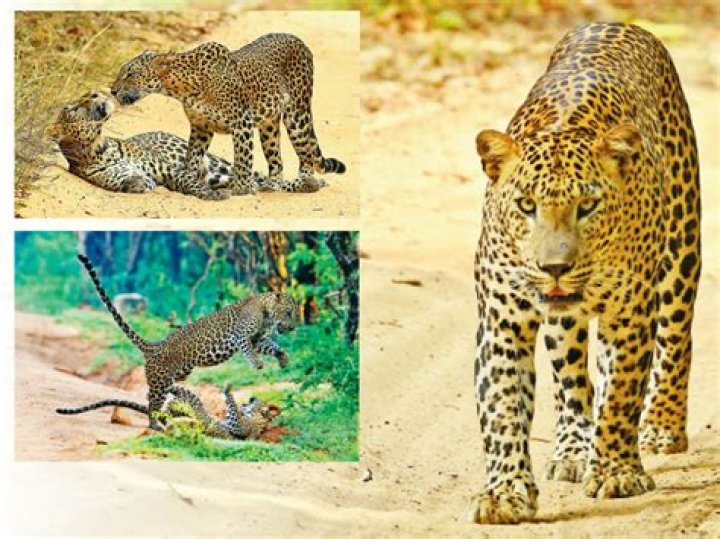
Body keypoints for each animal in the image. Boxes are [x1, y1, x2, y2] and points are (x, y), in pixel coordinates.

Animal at [47, 90, 234, 200]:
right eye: (74, 109)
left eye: (89, 95)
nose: (94, 93)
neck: (101, 150)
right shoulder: (122, 180)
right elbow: (136, 181)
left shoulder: (168, 169)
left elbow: (188, 181)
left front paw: (211, 194)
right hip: (212, 174)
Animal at [76, 253, 298, 431]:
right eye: (289, 312)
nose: (292, 327)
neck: (266, 311)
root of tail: (154, 345)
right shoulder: (242, 335)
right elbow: (249, 350)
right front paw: (257, 363)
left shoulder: (258, 338)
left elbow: (271, 346)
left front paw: (283, 358)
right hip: (160, 381)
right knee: (153, 403)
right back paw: (155, 425)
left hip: (176, 376)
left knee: (152, 397)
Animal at [111, 33, 346, 195]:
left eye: (130, 74)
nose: (112, 91)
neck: (182, 87)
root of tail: (298, 40)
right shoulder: (201, 127)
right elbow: (192, 158)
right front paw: (191, 180)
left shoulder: (241, 123)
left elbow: (243, 160)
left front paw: (240, 189)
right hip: (269, 126)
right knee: (277, 161)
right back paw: (272, 185)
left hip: (297, 116)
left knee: (306, 155)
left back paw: (306, 182)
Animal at [467, 22, 700, 524]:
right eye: (526, 205)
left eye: (588, 206)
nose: (555, 267)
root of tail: (618, 24)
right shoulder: (502, 320)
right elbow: (502, 407)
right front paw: (505, 492)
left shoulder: (630, 314)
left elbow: (621, 394)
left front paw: (616, 473)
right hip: (563, 324)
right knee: (573, 380)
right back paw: (573, 450)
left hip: (681, 249)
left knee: (675, 340)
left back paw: (661, 428)